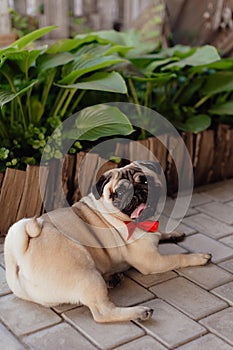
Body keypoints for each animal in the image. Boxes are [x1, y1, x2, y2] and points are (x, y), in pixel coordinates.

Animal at [3, 161, 211, 322]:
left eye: (145, 180)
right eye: (118, 193)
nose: (136, 193)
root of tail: (18, 259)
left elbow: (161, 234)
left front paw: (174, 233)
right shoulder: (152, 262)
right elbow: (178, 257)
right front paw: (199, 257)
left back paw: (114, 278)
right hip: (87, 272)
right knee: (102, 313)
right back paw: (139, 312)